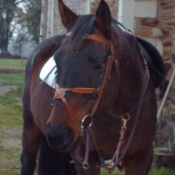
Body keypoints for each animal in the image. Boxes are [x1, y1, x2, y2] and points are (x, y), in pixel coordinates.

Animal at [21, 0, 165, 175]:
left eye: (100, 64)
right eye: (57, 62)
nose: (57, 132)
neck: (120, 113)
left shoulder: (141, 159)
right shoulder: (87, 160)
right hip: (31, 128)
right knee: (27, 160)